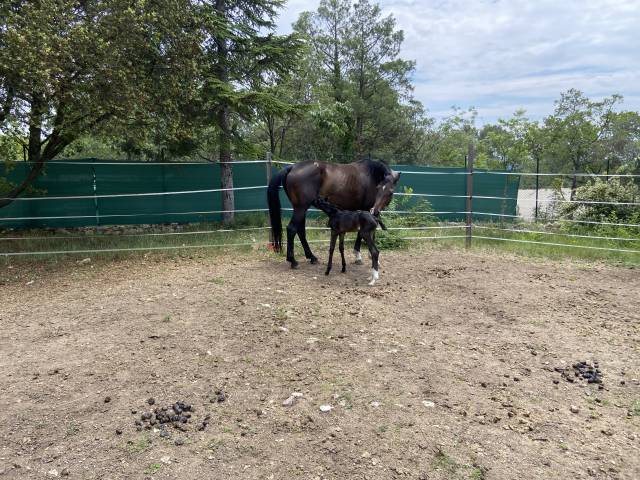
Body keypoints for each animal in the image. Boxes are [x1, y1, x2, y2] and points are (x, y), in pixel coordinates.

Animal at [268, 159, 400, 268]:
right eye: (378, 188)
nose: (375, 210)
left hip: (301, 208)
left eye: (390, 192)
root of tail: (292, 167)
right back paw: (293, 261)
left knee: (300, 231)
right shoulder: (366, 210)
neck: (371, 176)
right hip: (301, 208)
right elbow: (363, 234)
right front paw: (360, 256)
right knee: (291, 229)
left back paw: (312, 257)